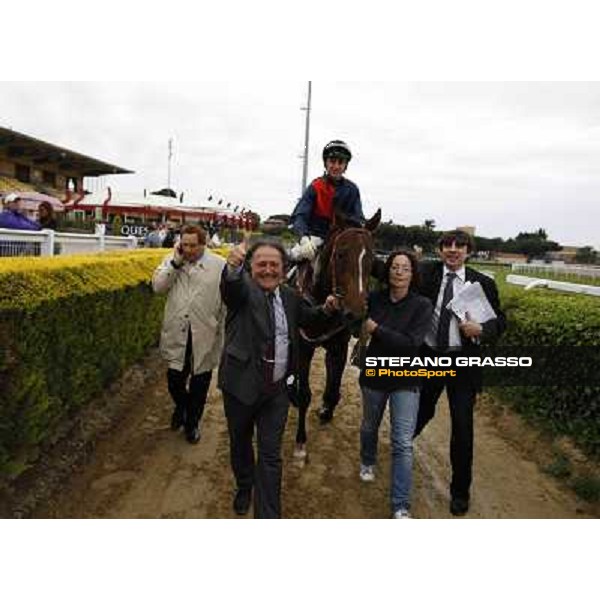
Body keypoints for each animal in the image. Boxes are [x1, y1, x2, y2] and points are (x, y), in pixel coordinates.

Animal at [292, 210, 382, 460]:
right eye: (341, 254)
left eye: (372, 259)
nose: (356, 314)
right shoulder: (303, 346)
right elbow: (304, 394)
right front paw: (300, 443)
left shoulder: (339, 347)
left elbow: (333, 391)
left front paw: (326, 409)